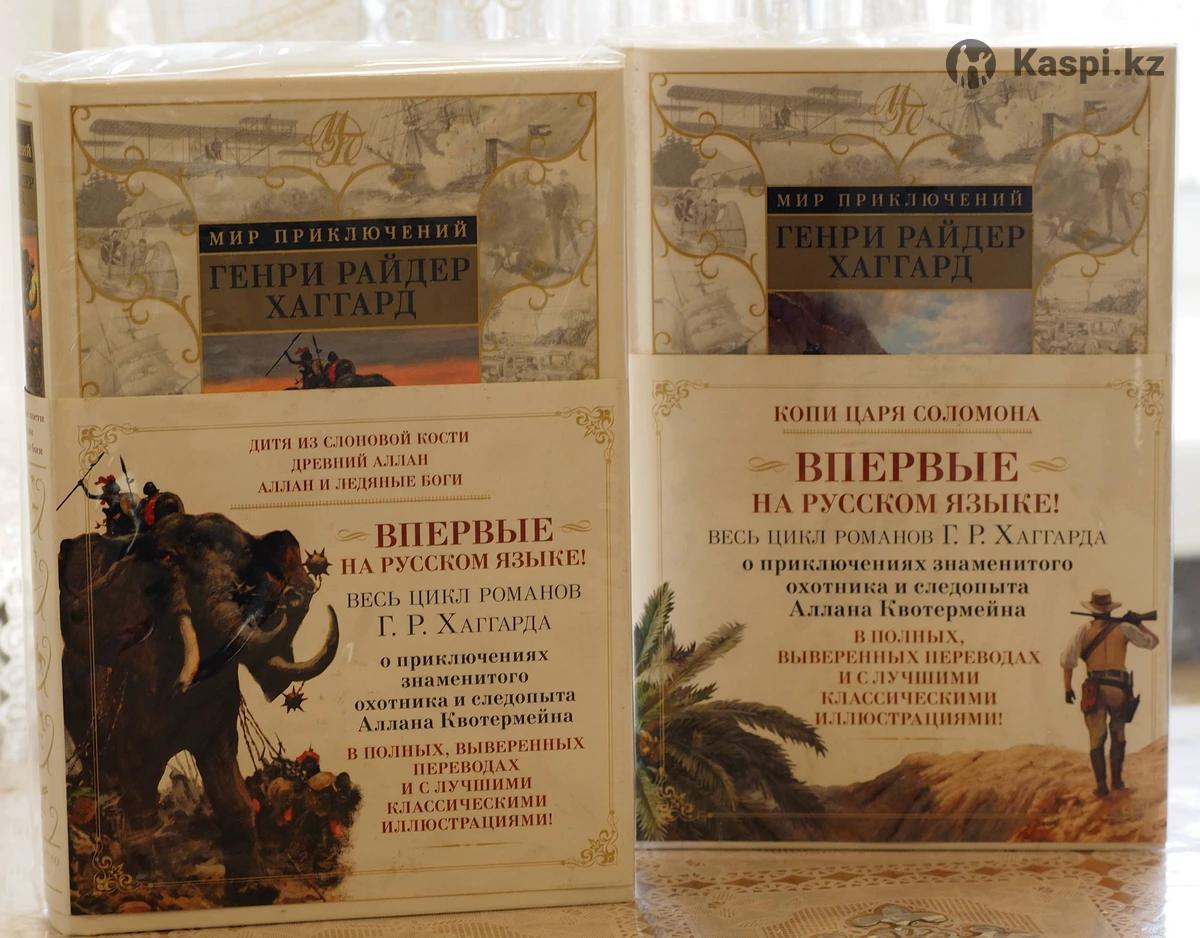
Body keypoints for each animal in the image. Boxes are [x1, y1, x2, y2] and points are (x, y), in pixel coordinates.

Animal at [58, 505, 339, 905]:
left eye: (247, 560)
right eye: (169, 558)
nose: (293, 598)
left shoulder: (220, 711)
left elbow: (229, 786)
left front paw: (253, 892)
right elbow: (139, 780)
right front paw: (150, 885)